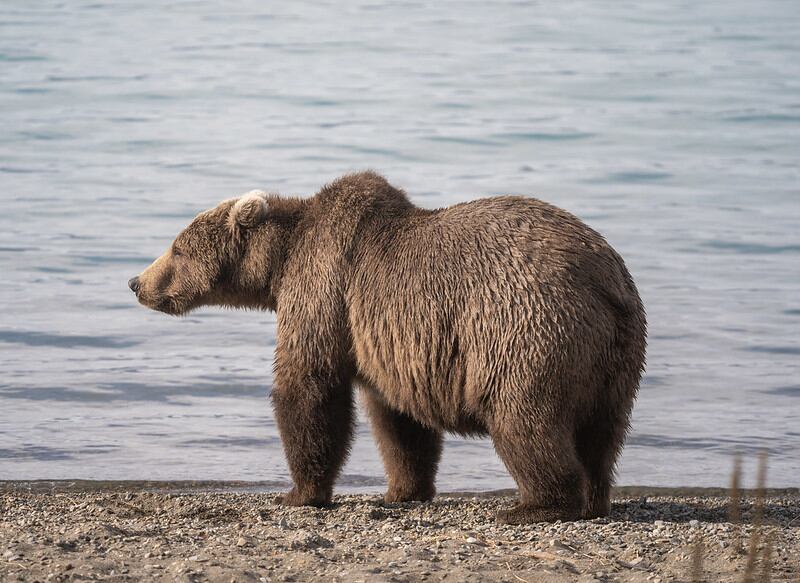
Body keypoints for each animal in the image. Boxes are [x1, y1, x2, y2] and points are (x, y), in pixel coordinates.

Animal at [129, 171, 647, 523]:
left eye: (176, 248)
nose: (136, 282)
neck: (280, 262)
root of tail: (607, 279)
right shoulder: (395, 344)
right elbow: (398, 421)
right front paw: (402, 489)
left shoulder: (325, 288)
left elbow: (310, 386)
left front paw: (299, 492)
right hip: (615, 356)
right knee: (603, 431)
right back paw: (596, 498)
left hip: (523, 330)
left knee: (524, 419)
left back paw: (536, 505)